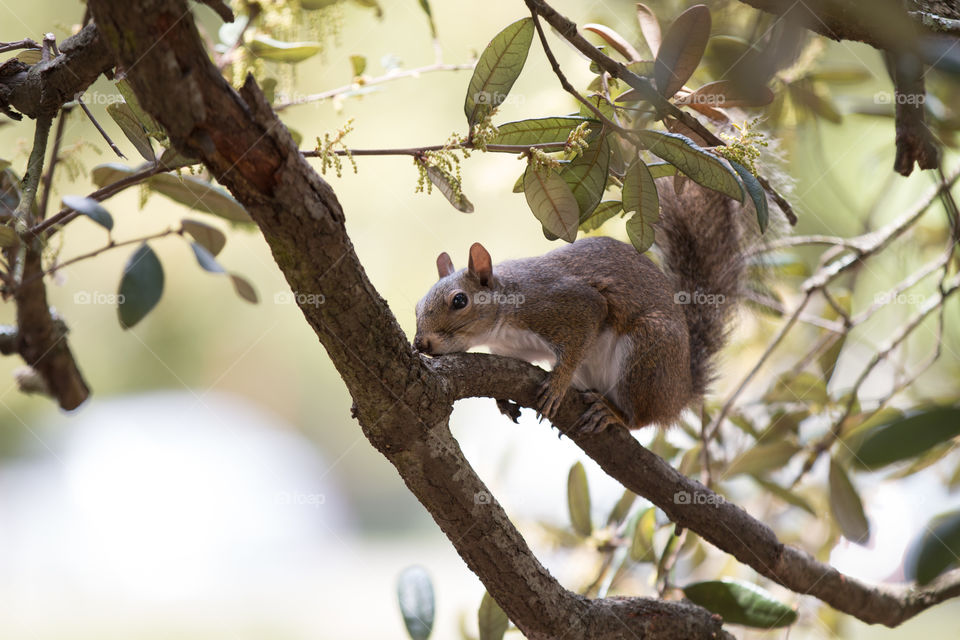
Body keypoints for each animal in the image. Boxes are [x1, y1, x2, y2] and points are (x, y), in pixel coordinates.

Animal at [412, 182, 752, 436]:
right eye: (417, 306)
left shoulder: (565, 303)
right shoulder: (515, 348)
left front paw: (558, 382)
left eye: (459, 301)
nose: (420, 344)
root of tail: (681, 392)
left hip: (648, 351)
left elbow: (586, 323)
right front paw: (502, 398)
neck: (503, 317)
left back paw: (613, 413)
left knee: (640, 419)